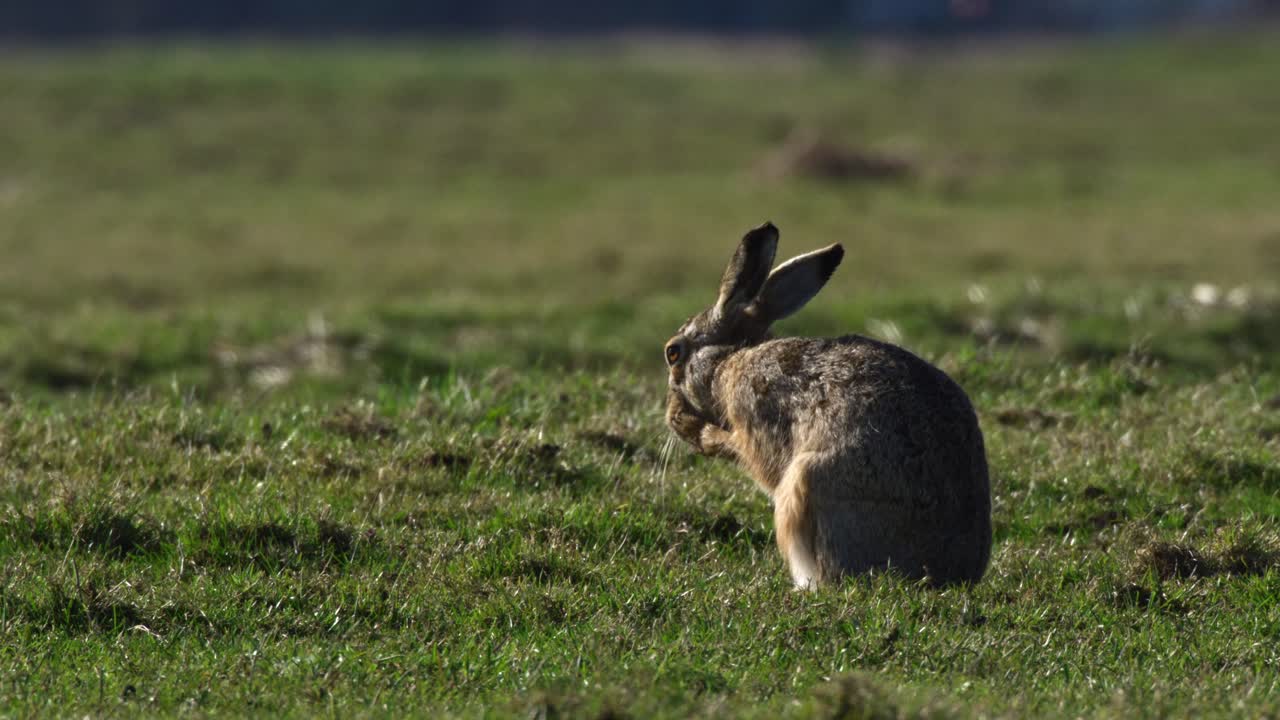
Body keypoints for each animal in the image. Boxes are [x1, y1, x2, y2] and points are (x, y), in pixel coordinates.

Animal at [664, 221, 991, 587]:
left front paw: (700, 433)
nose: (671, 415)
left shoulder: (755, 414)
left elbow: (755, 457)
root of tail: (953, 573)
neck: (729, 358)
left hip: (808, 483)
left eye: (672, 353)